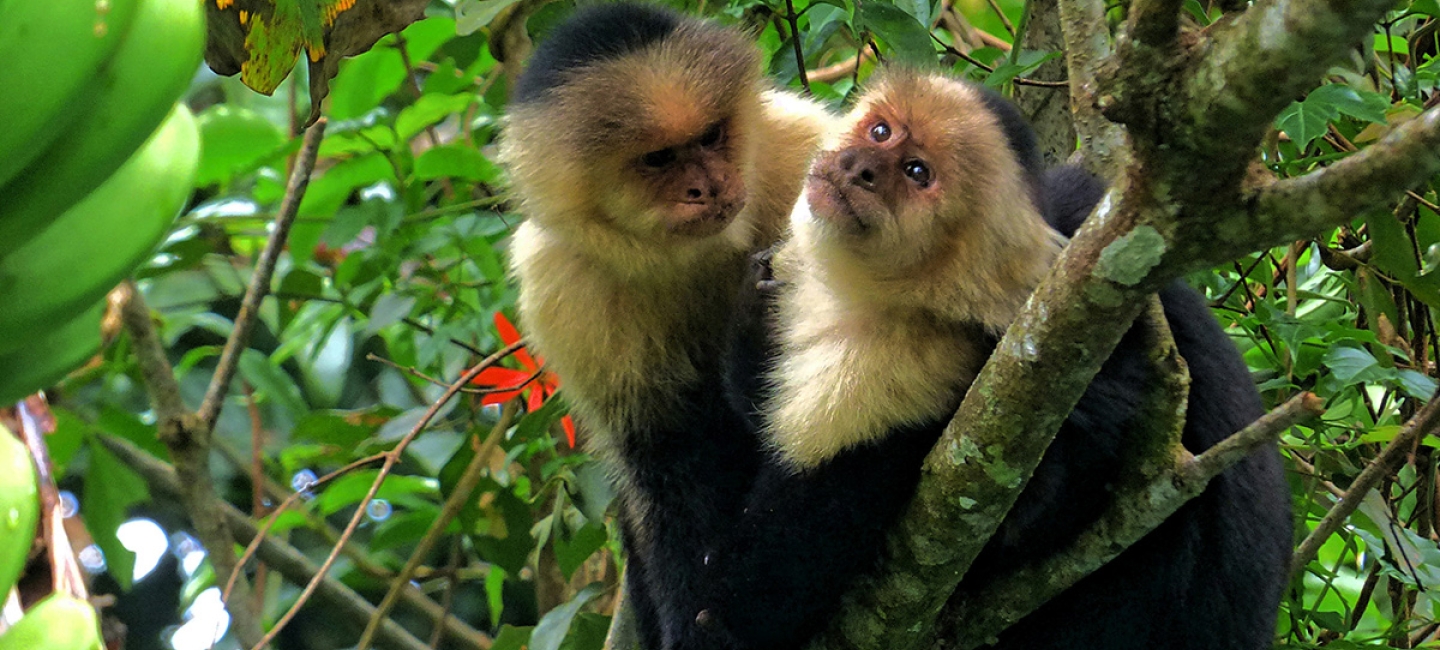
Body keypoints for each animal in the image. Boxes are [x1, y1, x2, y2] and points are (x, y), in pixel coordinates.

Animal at [498, 2, 835, 648]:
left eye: (709, 137)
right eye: (659, 159)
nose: (710, 186)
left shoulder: (801, 151)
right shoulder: (560, 285)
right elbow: (668, 456)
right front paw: (698, 625)